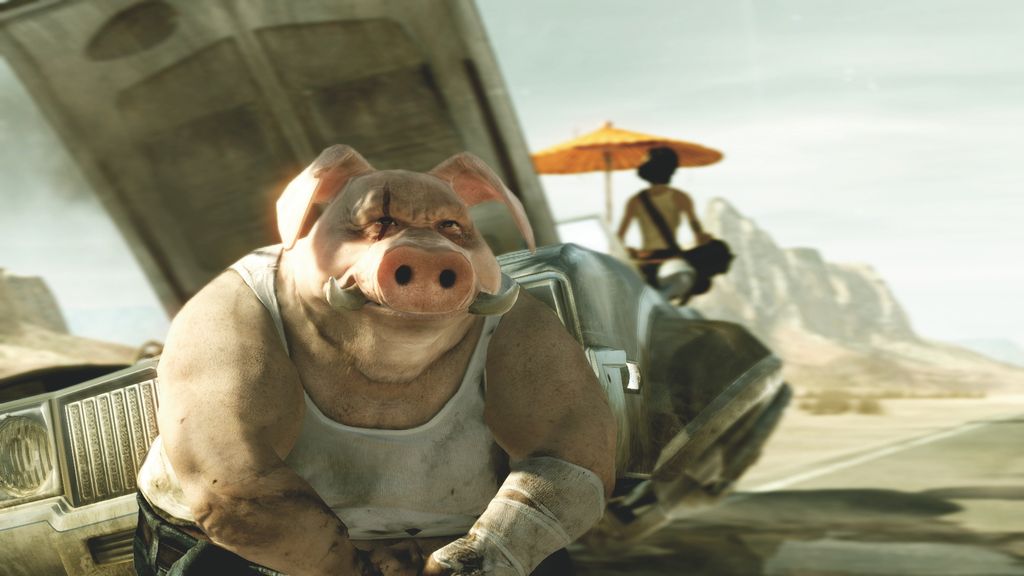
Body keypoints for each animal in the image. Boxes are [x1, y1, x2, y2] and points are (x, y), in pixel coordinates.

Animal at [135, 145, 617, 576]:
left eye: (450, 225)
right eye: (381, 222)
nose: (428, 255)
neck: (386, 369)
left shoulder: (532, 331)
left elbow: (565, 455)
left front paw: (448, 564)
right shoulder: (222, 319)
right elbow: (240, 473)